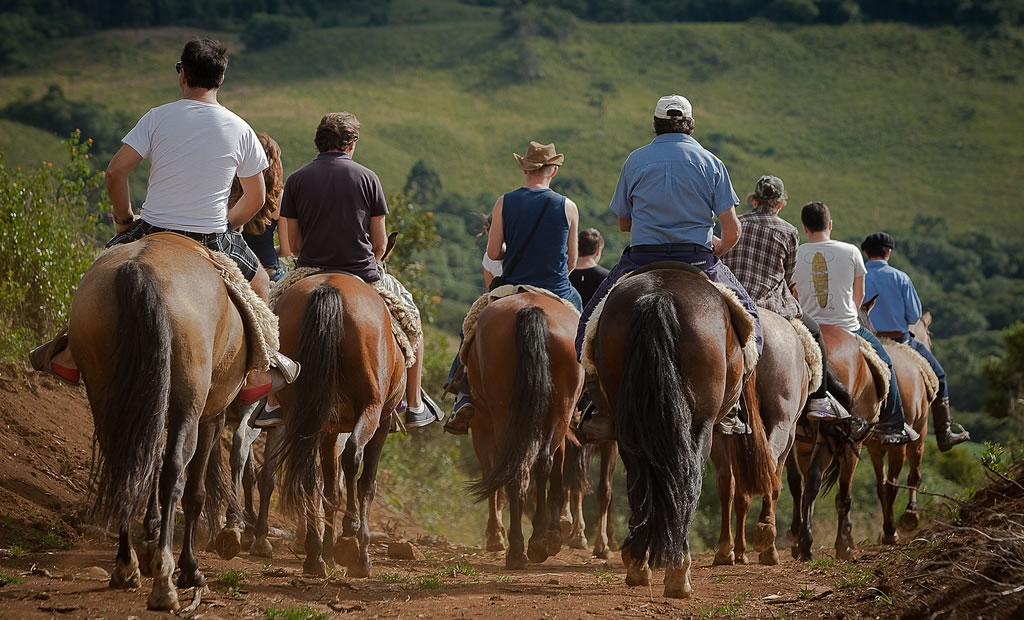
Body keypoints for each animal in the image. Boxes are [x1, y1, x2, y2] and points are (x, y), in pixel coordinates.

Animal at [69, 233, 247, 610]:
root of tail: (139, 270)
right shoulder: (210, 416)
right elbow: (194, 492)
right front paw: (189, 569)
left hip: (108, 396)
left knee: (124, 469)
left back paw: (127, 565)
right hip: (188, 407)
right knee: (174, 476)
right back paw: (164, 580)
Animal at [274, 272, 405, 577]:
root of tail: (329, 287)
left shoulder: (328, 430)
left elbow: (331, 490)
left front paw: (328, 552)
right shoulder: (382, 421)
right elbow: (367, 483)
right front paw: (361, 556)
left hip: (303, 410)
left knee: (309, 474)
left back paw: (315, 557)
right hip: (371, 409)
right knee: (353, 456)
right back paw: (349, 535)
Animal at [466, 293, 581, 569]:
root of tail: (531, 309)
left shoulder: (481, 422)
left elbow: (491, 470)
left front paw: (495, 535)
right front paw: (553, 531)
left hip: (504, 414)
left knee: (517, 471)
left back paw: (517, 549)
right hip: (560, 409)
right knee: (540, 464)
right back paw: (538, 541)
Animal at [589, 264, 749, 594]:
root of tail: (659, 296)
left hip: (628, 422)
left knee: (640, 475)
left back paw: (640, 562)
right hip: (701, 424)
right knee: (689, 477)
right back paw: (678, 570)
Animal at [712, 309, 815, 565]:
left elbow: (739, 490)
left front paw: (737, 550)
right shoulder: (790, 432)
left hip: (720, 429)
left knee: (726, 480)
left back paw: (725, 548)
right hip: (783, 424)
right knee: (771, 466)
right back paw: (767, 537)